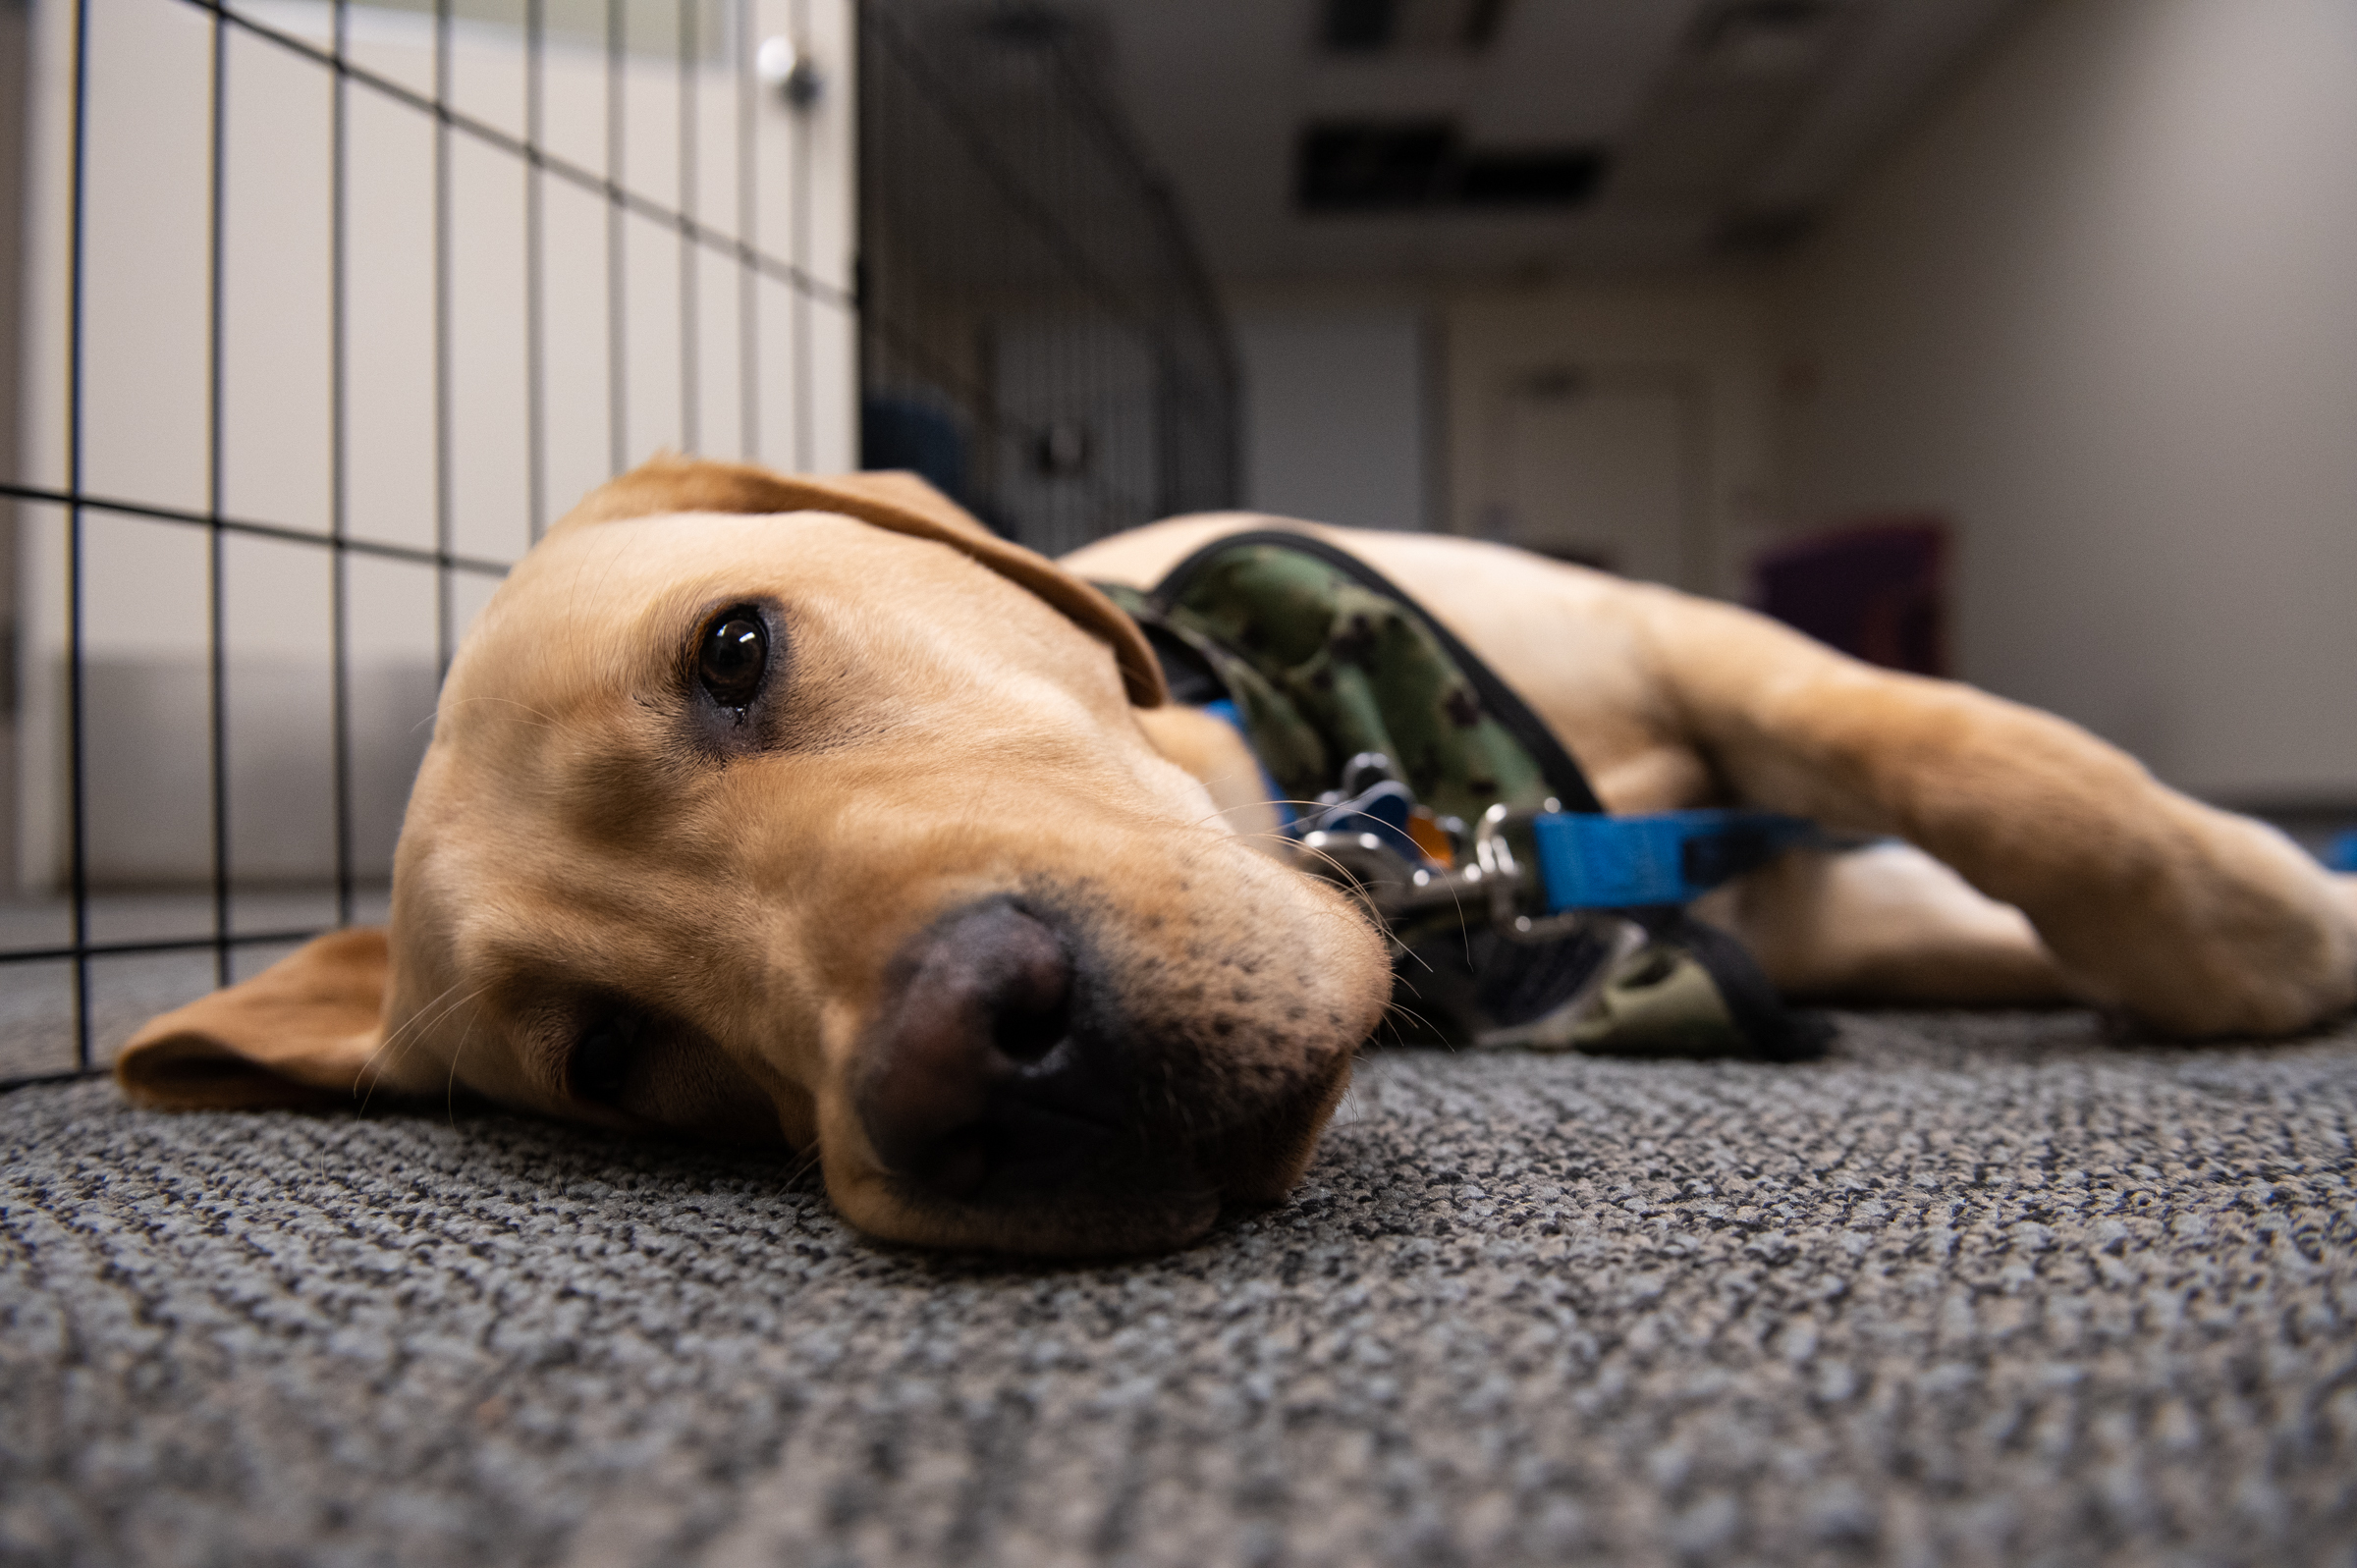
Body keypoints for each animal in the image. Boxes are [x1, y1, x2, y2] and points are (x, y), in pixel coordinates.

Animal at [119, 460, 2357, 1254]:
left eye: (734, 650)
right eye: (606, 1055)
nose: (972, 1057)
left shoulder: (1690, 645)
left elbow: (1968, 746)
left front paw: (2250, 918)